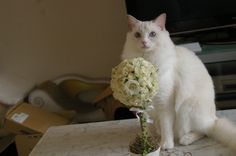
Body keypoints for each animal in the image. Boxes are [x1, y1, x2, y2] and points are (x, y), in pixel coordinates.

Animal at [121, 13, 236, 150]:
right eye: (137, 35)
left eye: (152, 34)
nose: (144, 42)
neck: (148, 61)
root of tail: (214, 120)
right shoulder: (144, 106)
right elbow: (146, 127)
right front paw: (147, 142)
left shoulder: (165, 104)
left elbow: (166, 128)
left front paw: (166, 145)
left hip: (187, 108)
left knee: (204, 131)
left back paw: (185, 139)